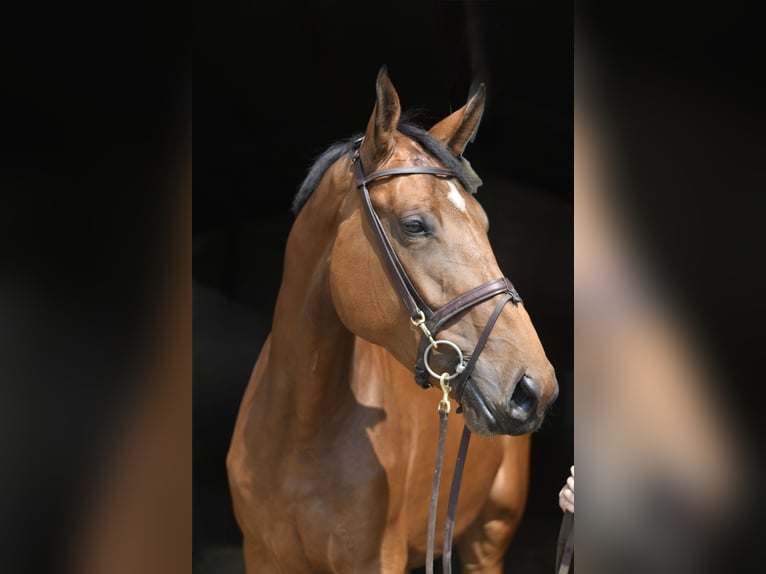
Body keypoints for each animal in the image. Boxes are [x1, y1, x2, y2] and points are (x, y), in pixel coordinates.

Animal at [226, 66, 559, 573]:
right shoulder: (261, 556)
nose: (533, 388)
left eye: (483, 223)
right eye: (414, 225)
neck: (301, 429)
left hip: (487, 541)